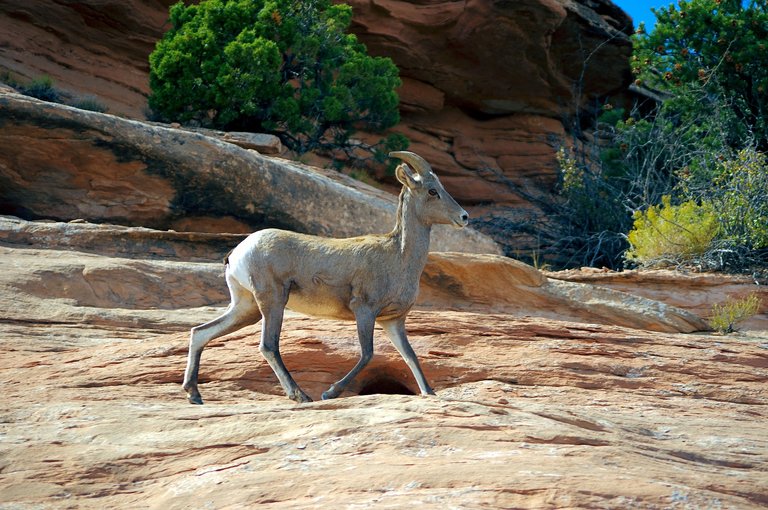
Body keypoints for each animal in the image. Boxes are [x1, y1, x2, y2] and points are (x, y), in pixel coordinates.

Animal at [183, 149, 468, 404]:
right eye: (432, 191)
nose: (464, 217)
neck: (398, 255)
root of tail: (239, 251)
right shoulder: (364, 310)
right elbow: (368, 354)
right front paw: (329, 393)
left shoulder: (393, 321)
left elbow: (410, 356)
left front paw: (429, 393)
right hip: (272, 301)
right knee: (268, 346)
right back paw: (301, 396)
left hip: (247, 307)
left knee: (200, 332)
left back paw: (194, 395)